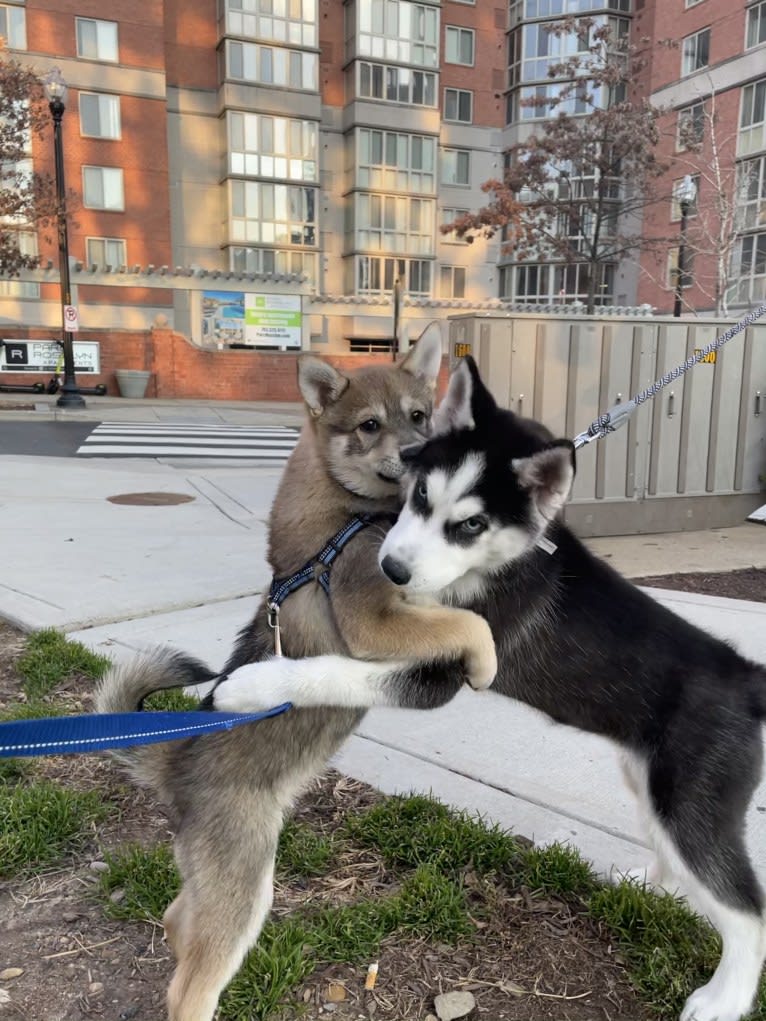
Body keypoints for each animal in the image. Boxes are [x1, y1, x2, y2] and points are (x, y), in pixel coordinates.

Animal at [96, 324, 494, 1021]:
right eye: (369, 424)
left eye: (420, 415)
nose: (417, 452)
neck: (349, 507)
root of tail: (176, 759)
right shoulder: (373, 618)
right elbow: (467, 623)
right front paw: (485, 656)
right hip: (242, 885)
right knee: (187, 988)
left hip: (220, 884)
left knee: (175, 922)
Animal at [216, 359, 766, 1021]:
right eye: (420, 495)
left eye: (472, 524)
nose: (392, 569)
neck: (491, 566)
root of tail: (748, 678)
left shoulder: (436, 675)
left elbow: (333, 670)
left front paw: (253, 684)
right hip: (652, 782)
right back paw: (653, 881)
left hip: (690, 799)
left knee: (748, 913)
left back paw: (723, 998)